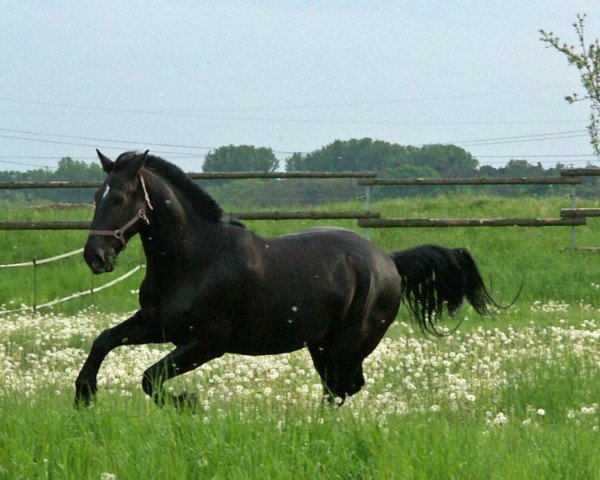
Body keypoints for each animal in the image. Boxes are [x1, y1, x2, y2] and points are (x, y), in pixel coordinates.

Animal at [77, 150, 502, 404]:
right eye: (96, 196)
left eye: (120, 198)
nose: (95, 257)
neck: (195, 259)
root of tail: (389, 262)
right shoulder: (157, 325)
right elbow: (103, 341)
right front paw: (84, 394)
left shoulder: (208, 341)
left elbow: (151, 377)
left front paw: (188, 403)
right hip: (322, 345)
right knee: (339, 387)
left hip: (348, 344)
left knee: (342, 387)